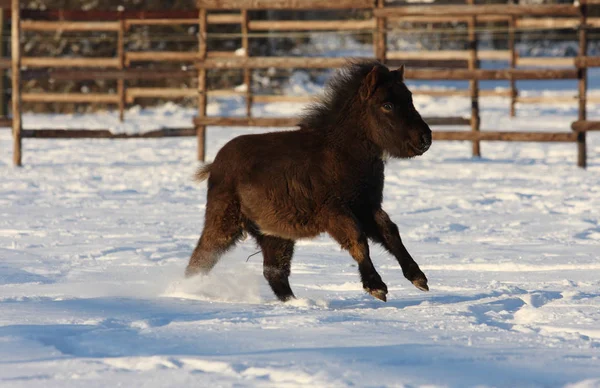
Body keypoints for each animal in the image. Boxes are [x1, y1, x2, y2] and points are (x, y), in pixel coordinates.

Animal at [186, 61, 432, 304]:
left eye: (409, 98)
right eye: (387, 105)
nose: (425, 139)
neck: (343, 153)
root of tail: (214, 164)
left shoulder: (367, 207)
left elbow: (391, 233)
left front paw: (418, 277)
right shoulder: (334, 211)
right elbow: (358, 239)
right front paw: (376, 286)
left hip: (275, 235)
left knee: (274, 272)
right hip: (225, 222)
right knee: (201, 259)